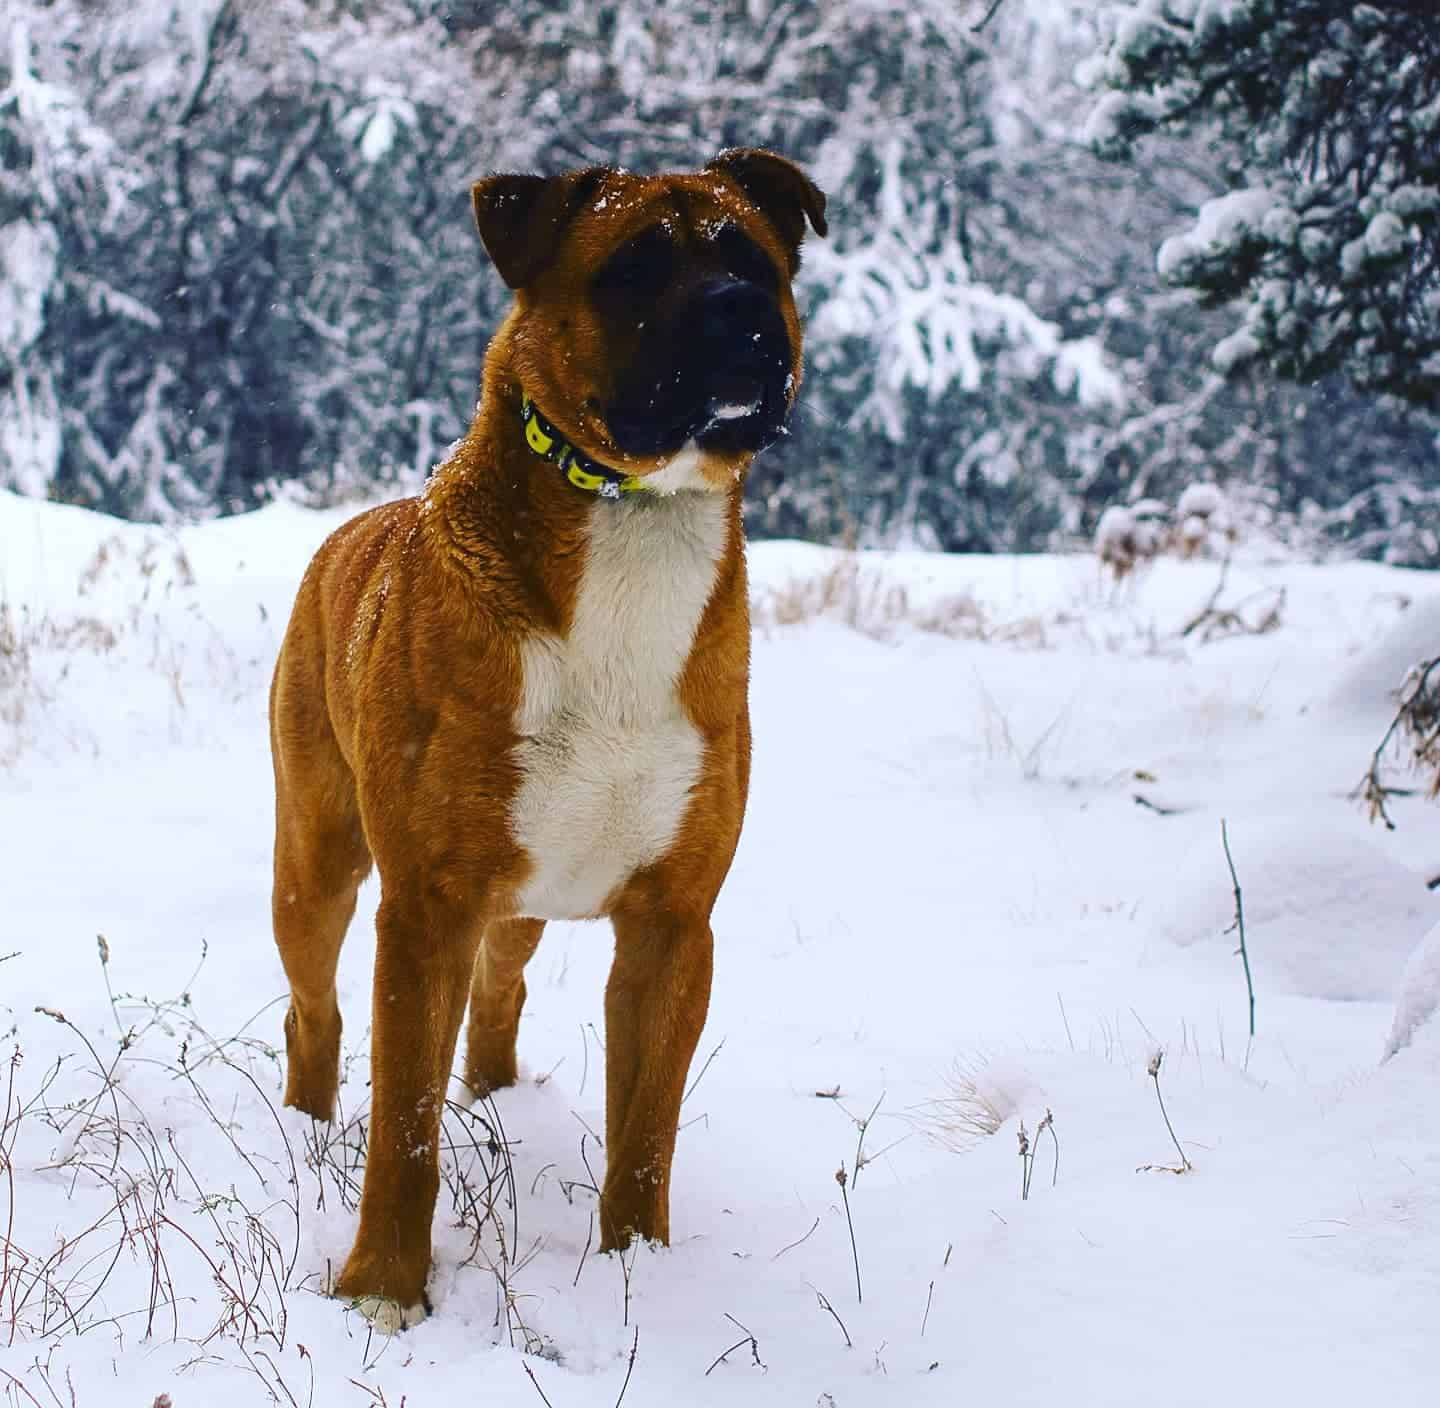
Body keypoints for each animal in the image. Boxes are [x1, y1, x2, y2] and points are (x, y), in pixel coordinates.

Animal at [269, 148, 829, 1324]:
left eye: (754, 259)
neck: (633, 514)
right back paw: (304, 1125)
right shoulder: (425, 906)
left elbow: (647, 1129)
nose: (740, 309)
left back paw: (496, 1101)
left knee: (501, 992)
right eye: (633, 269)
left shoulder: (673, 924)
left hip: (518, 894)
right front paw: (382, 1289)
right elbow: (405, 1127)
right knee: (315, 1008)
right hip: (318, 860)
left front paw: (638, 1273)